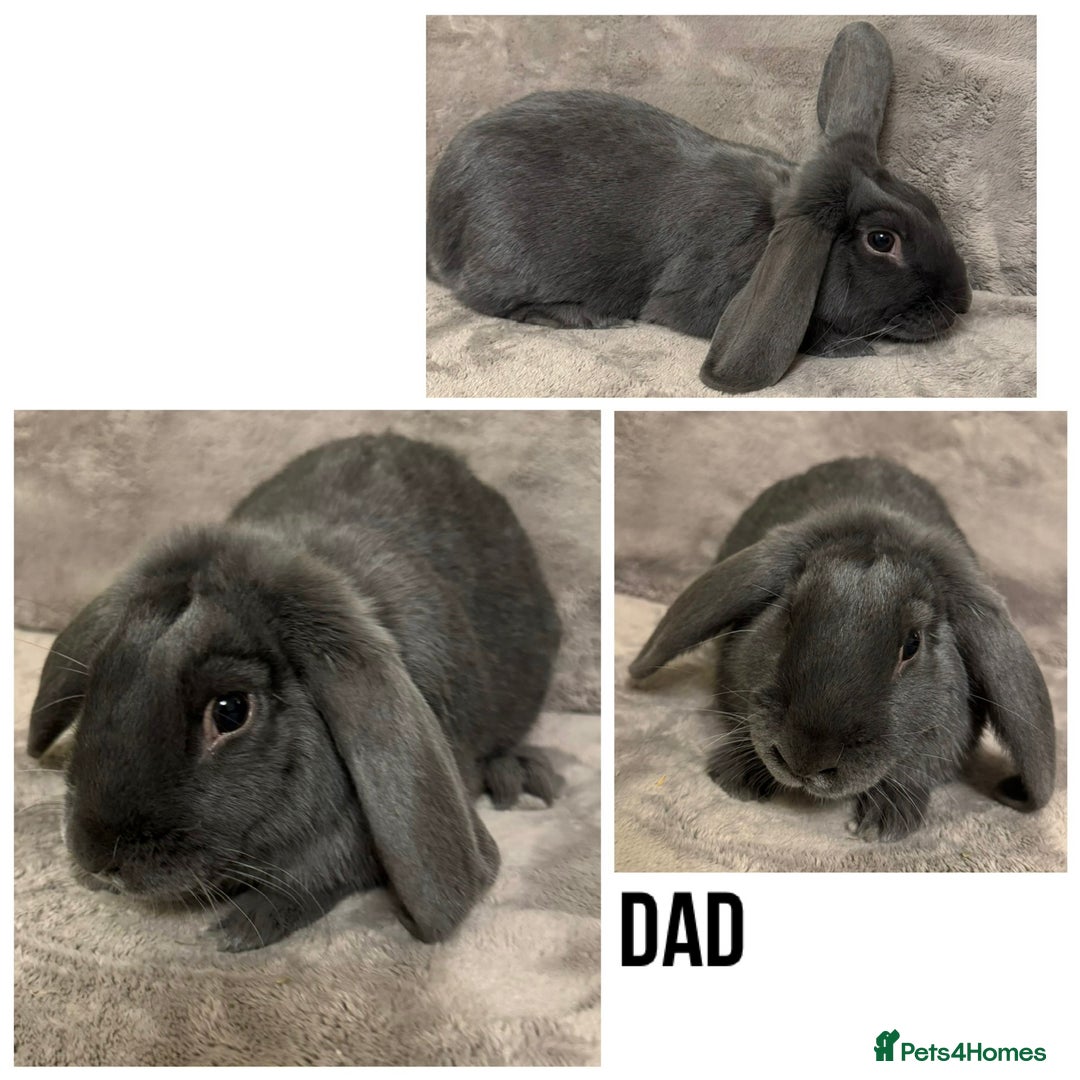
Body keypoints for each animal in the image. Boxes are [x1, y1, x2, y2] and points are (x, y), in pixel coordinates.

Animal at [26, 433, 563, 950]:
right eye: (100, 679)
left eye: (230, 710)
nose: (96, 859)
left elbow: (322, 871)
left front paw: (242, 927)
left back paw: (518, 776)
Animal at [427, 22, 972, 393]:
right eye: (882, 240)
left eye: (928, 202)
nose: (962, 303)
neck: (767, 224)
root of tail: (437, 213)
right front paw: (848, 346)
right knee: (490, 301)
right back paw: (589, 318)